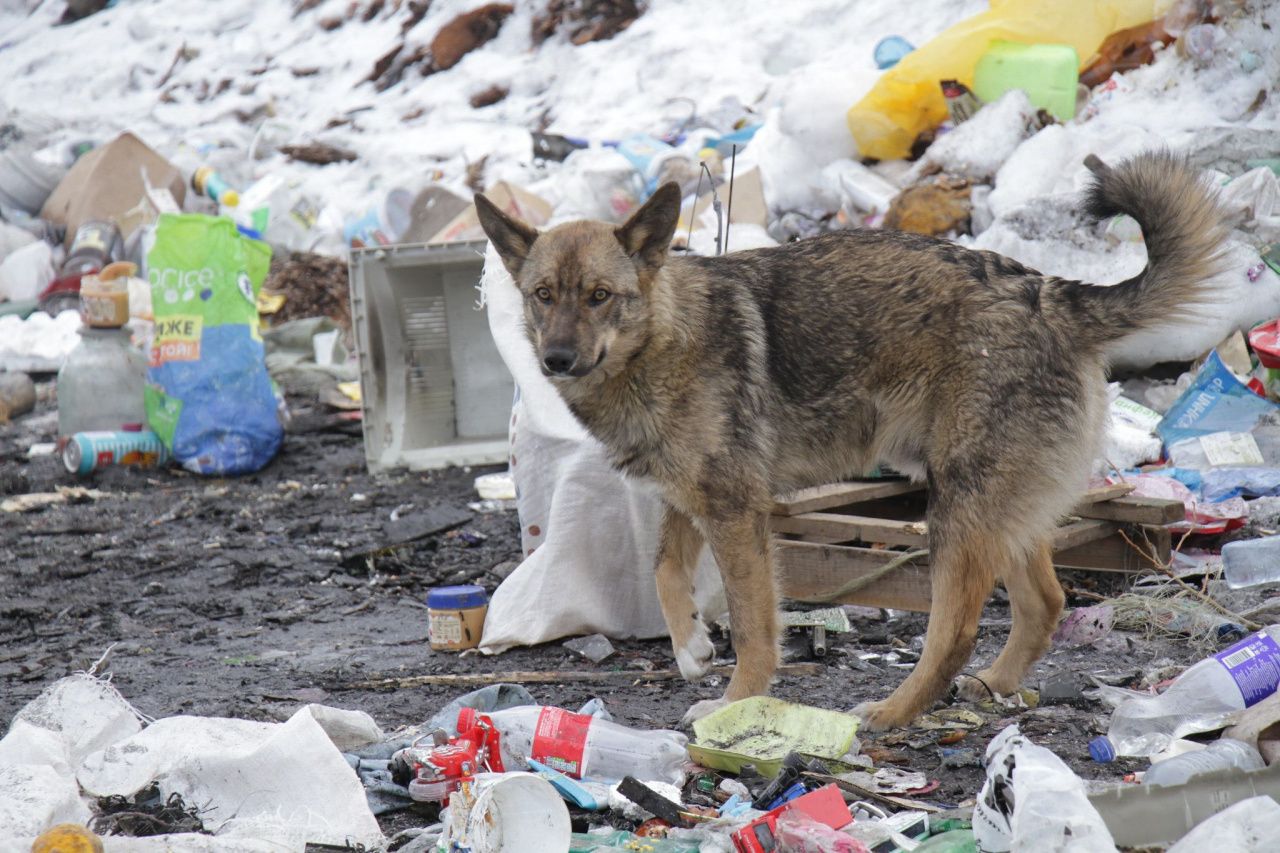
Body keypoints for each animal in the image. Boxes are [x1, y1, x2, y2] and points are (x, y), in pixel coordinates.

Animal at [476, 151, 1223, 722]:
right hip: (1002, 514)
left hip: (957, 516)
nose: (556, 360)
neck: (660, 342)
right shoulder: (689, 500)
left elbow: (754, 627)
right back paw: (990, 686)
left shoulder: (737, 513)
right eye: (543, 295)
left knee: (955, 630)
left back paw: (895, 711)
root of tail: (1050, 294)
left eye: (600, 296)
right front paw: (690, 647)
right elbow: (664, 571)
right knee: (1045, 604)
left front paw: (736, 702)